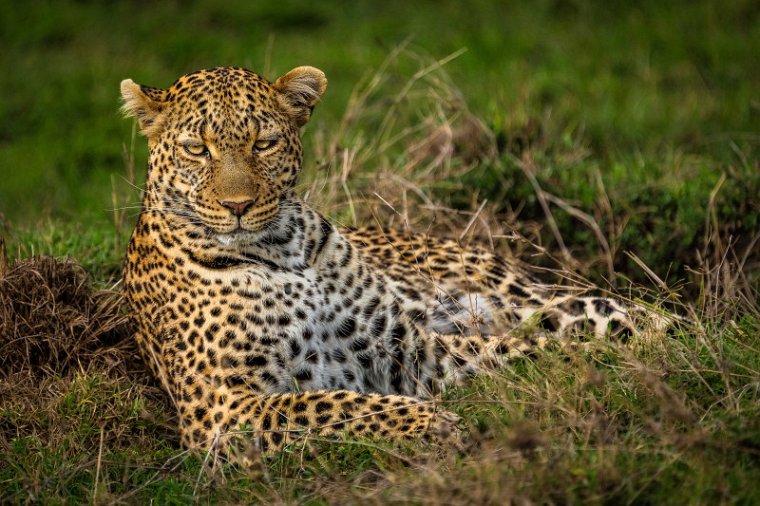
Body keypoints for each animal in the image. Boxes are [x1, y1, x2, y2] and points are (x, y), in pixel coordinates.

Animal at [120, 65, 664, 456]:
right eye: (197, 149)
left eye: (264, 143)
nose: (237, 206)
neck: (284, 250)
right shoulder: (222, 408)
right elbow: (331, 405)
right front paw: (434, 423)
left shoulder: (405, 347)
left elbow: (517, 351)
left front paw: (608, 362)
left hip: (513, 295)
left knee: (604, 311)